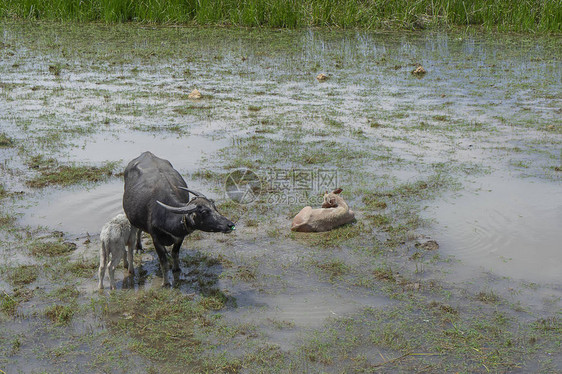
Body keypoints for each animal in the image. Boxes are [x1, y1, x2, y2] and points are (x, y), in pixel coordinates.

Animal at [122, 150, 234, 284]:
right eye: (204, 211)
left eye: (214, 206)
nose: (230, 225)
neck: (166, 217)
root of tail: (146, 153)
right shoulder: (156, 240)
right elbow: (164, 263)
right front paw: (165, 283)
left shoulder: (180, 238)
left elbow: (175, 254)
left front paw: (176, 269)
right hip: (132, 219)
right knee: (138, 230)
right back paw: (138, 247)